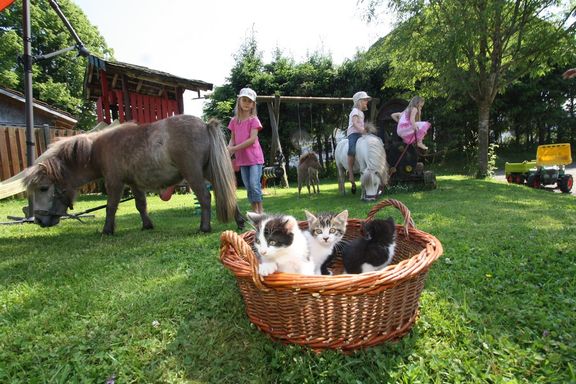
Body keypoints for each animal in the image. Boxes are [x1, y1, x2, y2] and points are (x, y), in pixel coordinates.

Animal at [23, 114, 244, 234]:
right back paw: (239, 220)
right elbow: (140, 205)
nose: (39, 221)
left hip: (193, 174)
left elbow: (111, 207)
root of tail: (205, 125)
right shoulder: (134, 184)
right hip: (209, 171)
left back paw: (204, 227)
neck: (97, 150)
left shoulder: (114, 183)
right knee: (225, 192)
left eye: (43, 188)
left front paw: (107, 230)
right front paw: (147, 225)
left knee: (206, 197)